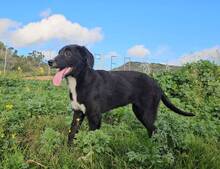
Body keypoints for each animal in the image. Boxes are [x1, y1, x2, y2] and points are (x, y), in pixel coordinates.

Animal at [48, 44, 194, 145]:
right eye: (58, 52)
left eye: (67, 53)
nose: (49, 62)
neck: (79, 81)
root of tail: (157, 84)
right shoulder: (78, 113)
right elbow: (71, 134)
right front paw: (67, 152)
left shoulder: (95, 116)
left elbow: (92, 138)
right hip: (139, 111)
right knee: (151, 130)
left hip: (146, 112)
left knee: (155, 131)